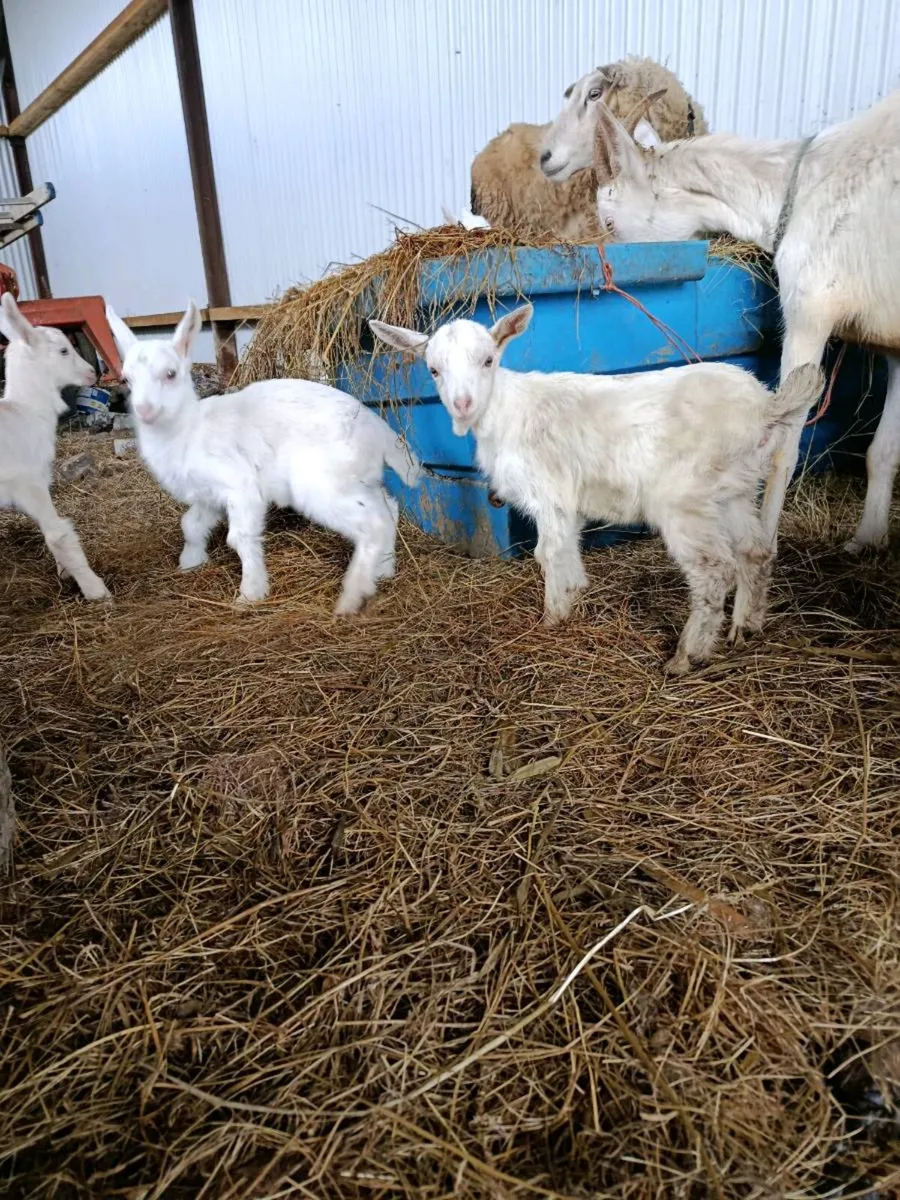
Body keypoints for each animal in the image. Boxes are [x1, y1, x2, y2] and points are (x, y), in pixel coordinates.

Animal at [0, 294, 110, 601]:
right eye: (63, 350)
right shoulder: (27, 483)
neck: (23, 412)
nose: (91, 373)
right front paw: (96, 590)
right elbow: (57, 534)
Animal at [106, 301, 422, 614]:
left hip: (322, 485)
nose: (144, 410)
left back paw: (352, 597)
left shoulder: (239, 486)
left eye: (170, 374)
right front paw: (190, 563)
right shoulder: (208, 497)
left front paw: (251, 593)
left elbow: (240, 538)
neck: (188, 429)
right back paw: (383, 571)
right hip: (359, 480)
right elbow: (191, 525)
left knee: (372, 524)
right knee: (388, 511)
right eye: (127, 379)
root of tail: (377, 430)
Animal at [370, 305, 823, 674]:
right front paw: (574, 595)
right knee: (756, 551)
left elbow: (547, 554)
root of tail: (764, 408)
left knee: (714, 570)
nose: (462, 405)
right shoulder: (566, 504)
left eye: (488, 360)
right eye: (433, 369)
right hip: (733, 490)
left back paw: (686, 655)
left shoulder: (549, 492)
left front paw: (551, 619)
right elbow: (564, 551)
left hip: (684, 498)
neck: (506, 411)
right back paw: (746, 626)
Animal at [550, 91, 900, 553]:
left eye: (609, 221)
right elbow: (883, 451)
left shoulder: (810, 310)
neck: (796, 188)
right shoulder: (896, 349)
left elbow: (781, 451)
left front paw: (762, 549)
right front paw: (868, 539)